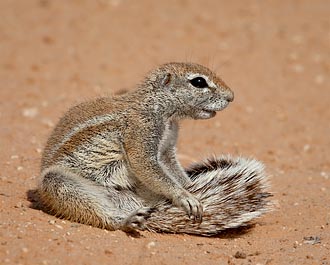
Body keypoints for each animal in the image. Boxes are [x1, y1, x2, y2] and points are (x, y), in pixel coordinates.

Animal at [37, 62, 272, 235]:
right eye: (198, 82)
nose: (231, 96)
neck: (162, 113)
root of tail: (136, 204)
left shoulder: (167, 149)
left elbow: (173, 169)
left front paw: (190, 187)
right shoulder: (141, 132)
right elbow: (145, 165)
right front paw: (184, 196)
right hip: (57, 183)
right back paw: (126, 221)